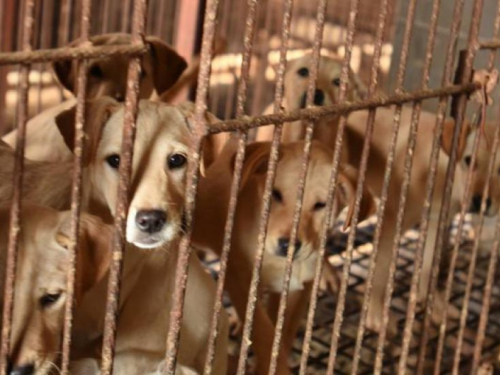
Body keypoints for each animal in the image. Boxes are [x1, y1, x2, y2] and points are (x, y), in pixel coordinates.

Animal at [193, 140, 374, 374]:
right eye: (276, 194)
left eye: (321, 205)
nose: (288, 245)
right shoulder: (240, 280)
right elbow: (263, 332)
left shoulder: (297, 290)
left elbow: (282, 333)